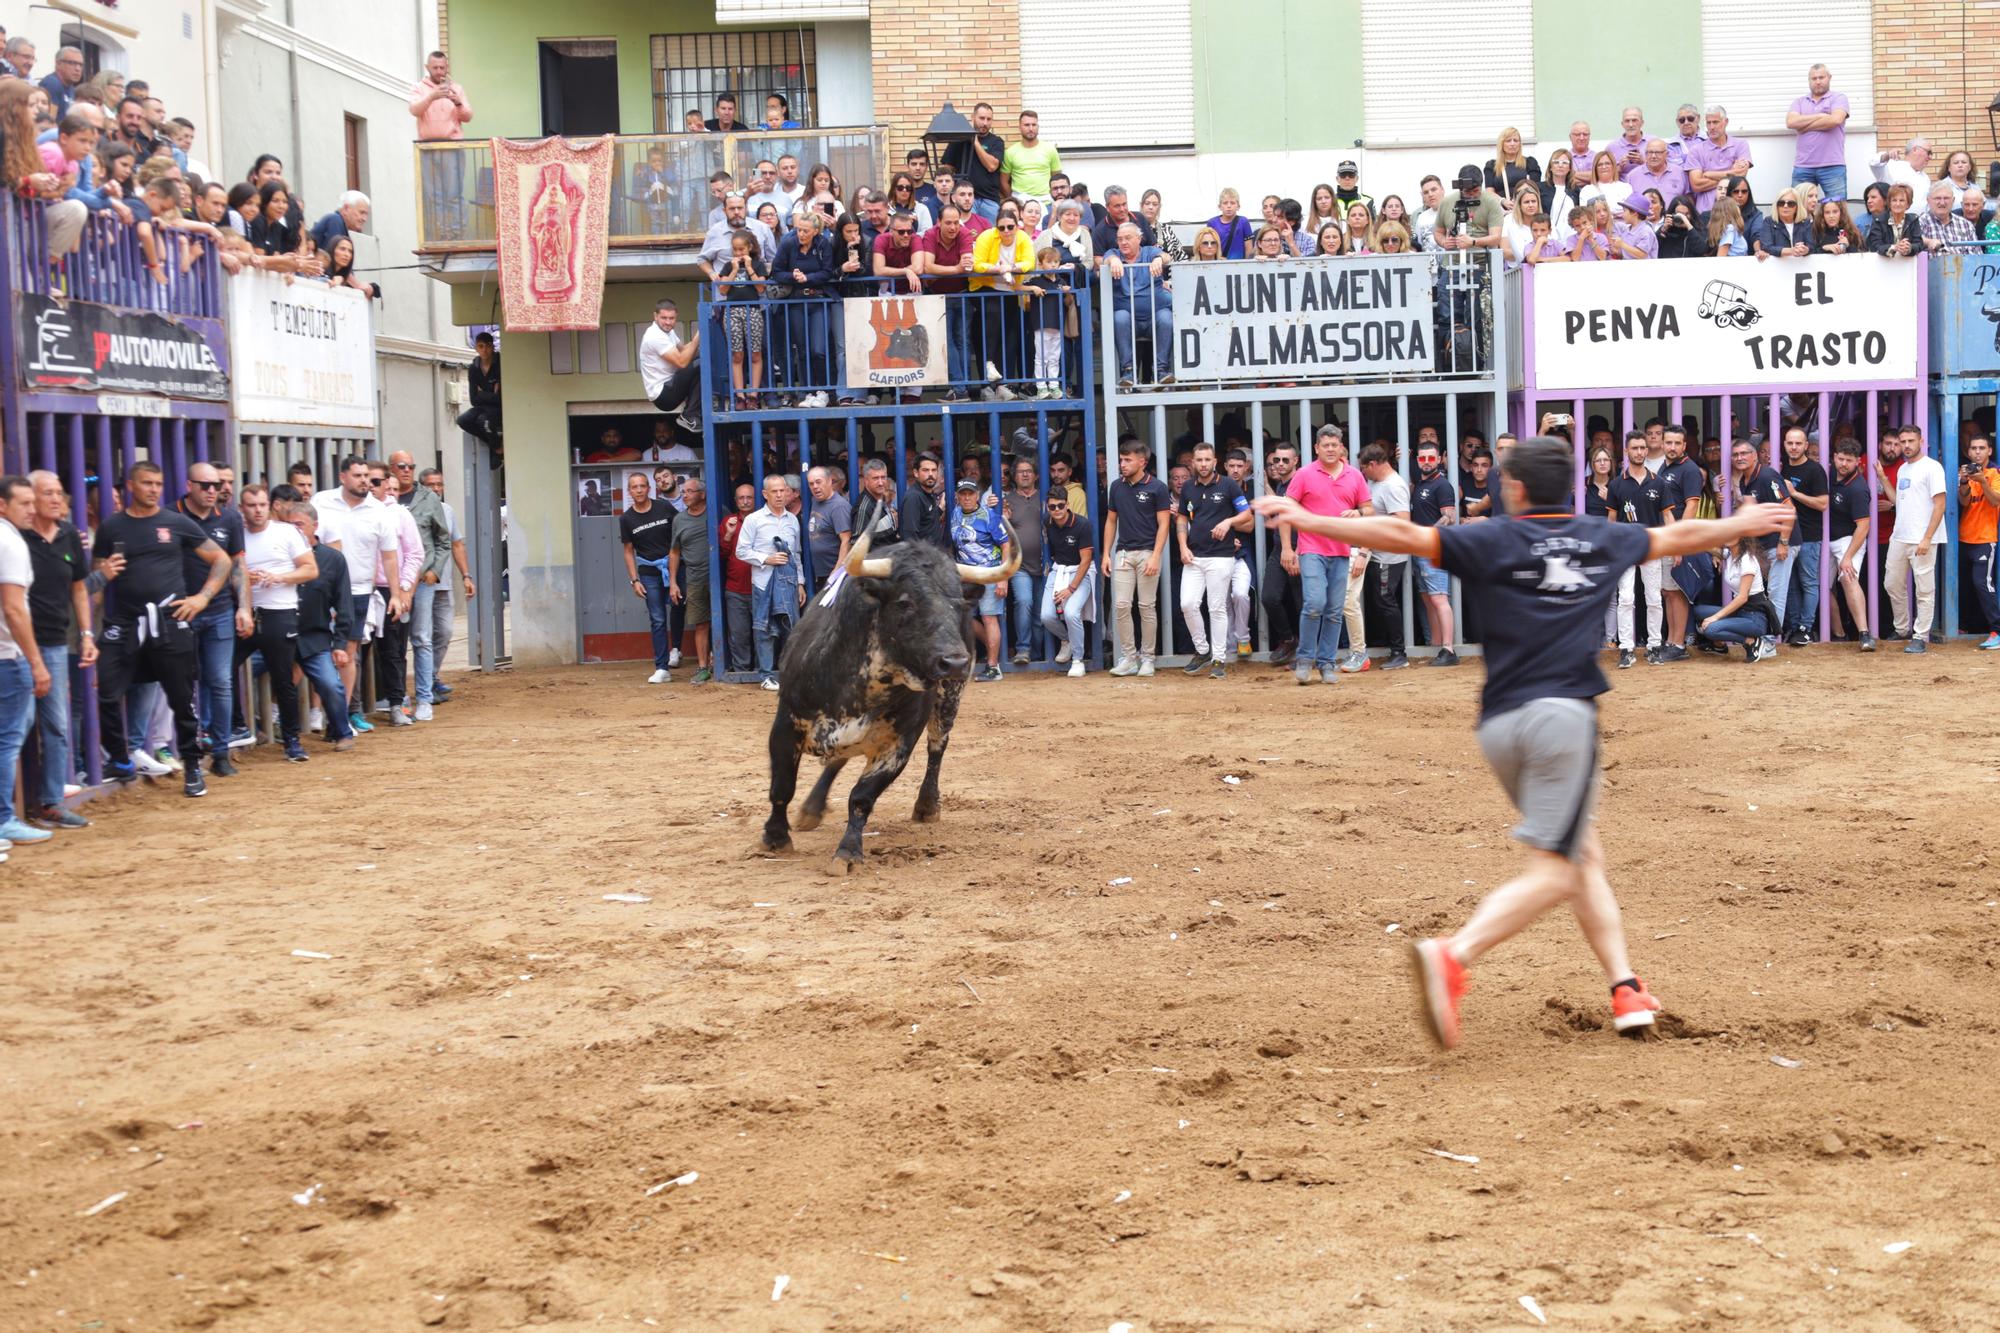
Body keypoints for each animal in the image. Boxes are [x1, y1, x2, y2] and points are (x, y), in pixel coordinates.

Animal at [760, 498, 1024, 872]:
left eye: (958, 604)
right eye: (905, 601)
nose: (955, 662)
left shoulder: (899, 745)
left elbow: (861, 797)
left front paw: (848, 851)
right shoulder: (785, 724)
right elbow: (782, 786)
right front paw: (775, 837)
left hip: (949, 700)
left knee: (936, 748)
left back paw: (926, 806)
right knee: (836, 761)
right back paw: (811, 809)